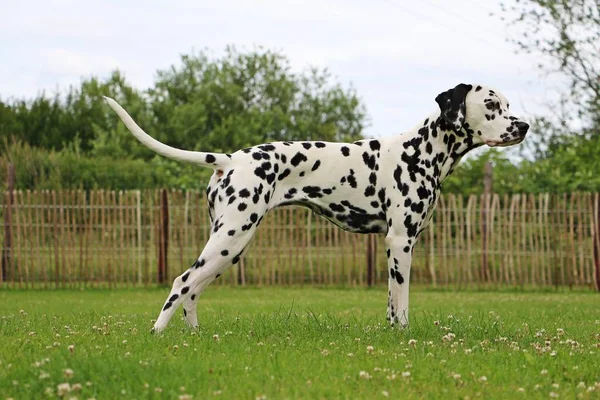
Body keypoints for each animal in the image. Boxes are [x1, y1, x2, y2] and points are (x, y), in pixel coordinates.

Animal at [104, 83, 528, 332]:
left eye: (508, 103)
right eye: (491, 104)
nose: (524, 126)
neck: (420, 151)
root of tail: (228, 158)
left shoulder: (395, 247)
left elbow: (390, 305)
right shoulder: (400, 243)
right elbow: (403, 304)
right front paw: (405, 337)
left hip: (231, 247)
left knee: (192, 291)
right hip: (230, 239)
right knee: (181, 283)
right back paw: (157, 336)